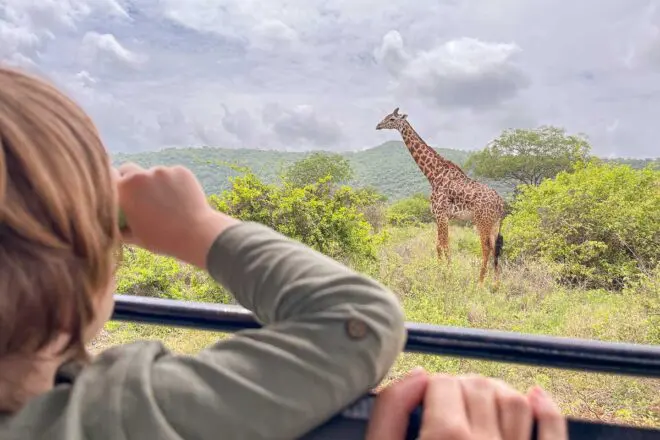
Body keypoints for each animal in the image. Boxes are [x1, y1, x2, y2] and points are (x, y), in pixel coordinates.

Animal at [376, 107, 506, 286]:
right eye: (386, 117)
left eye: (392, 119)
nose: (378, 125)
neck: (433, 175)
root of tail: (501, 204)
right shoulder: (441, 217)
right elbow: (439, 245)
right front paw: (441, 271)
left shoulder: (441, 215)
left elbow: (444, 245)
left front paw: (447, 275)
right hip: (494, 224)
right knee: (496, 249)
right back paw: (496, 284)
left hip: (482, 222)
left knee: (486, 248)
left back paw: (479, 283)